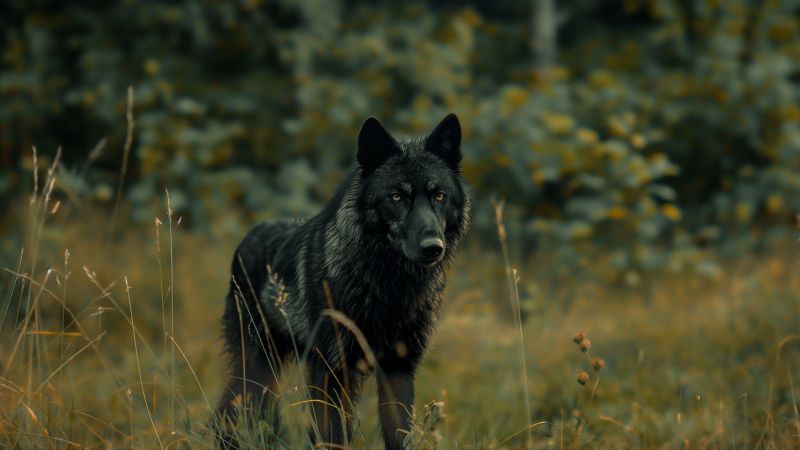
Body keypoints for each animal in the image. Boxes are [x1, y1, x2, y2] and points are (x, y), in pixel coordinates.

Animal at [216, 113, 471, 449]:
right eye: (397, 197)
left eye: (439, 196)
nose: (433, 247)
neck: (388, 287)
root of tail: (250, 234)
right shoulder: (331, 371)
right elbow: (333, 437)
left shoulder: (398, 370)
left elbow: (398, 435)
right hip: (257, 368)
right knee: (228, 412)